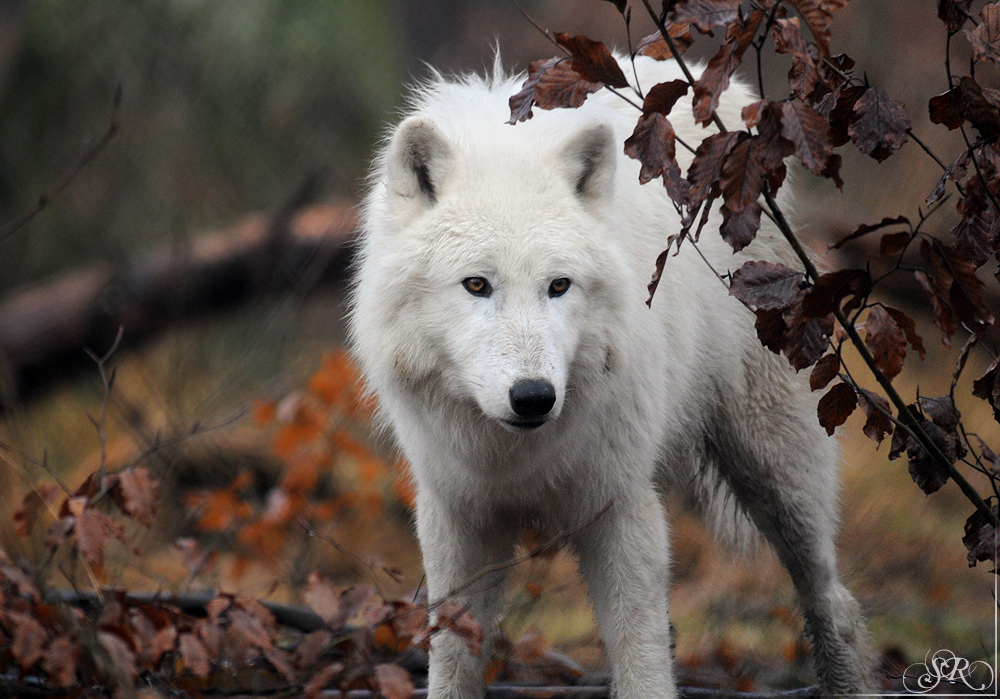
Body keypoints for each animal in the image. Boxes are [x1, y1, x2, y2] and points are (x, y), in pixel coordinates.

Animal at [352, 56, 876, 699]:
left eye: (559, 285)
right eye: (476, 284)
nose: (533, 398)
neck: (516, 456)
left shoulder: (621, 507)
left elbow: (642, 658)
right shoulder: (458, 518)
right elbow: (452, 658)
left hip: (777, 472)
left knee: (833, 601)